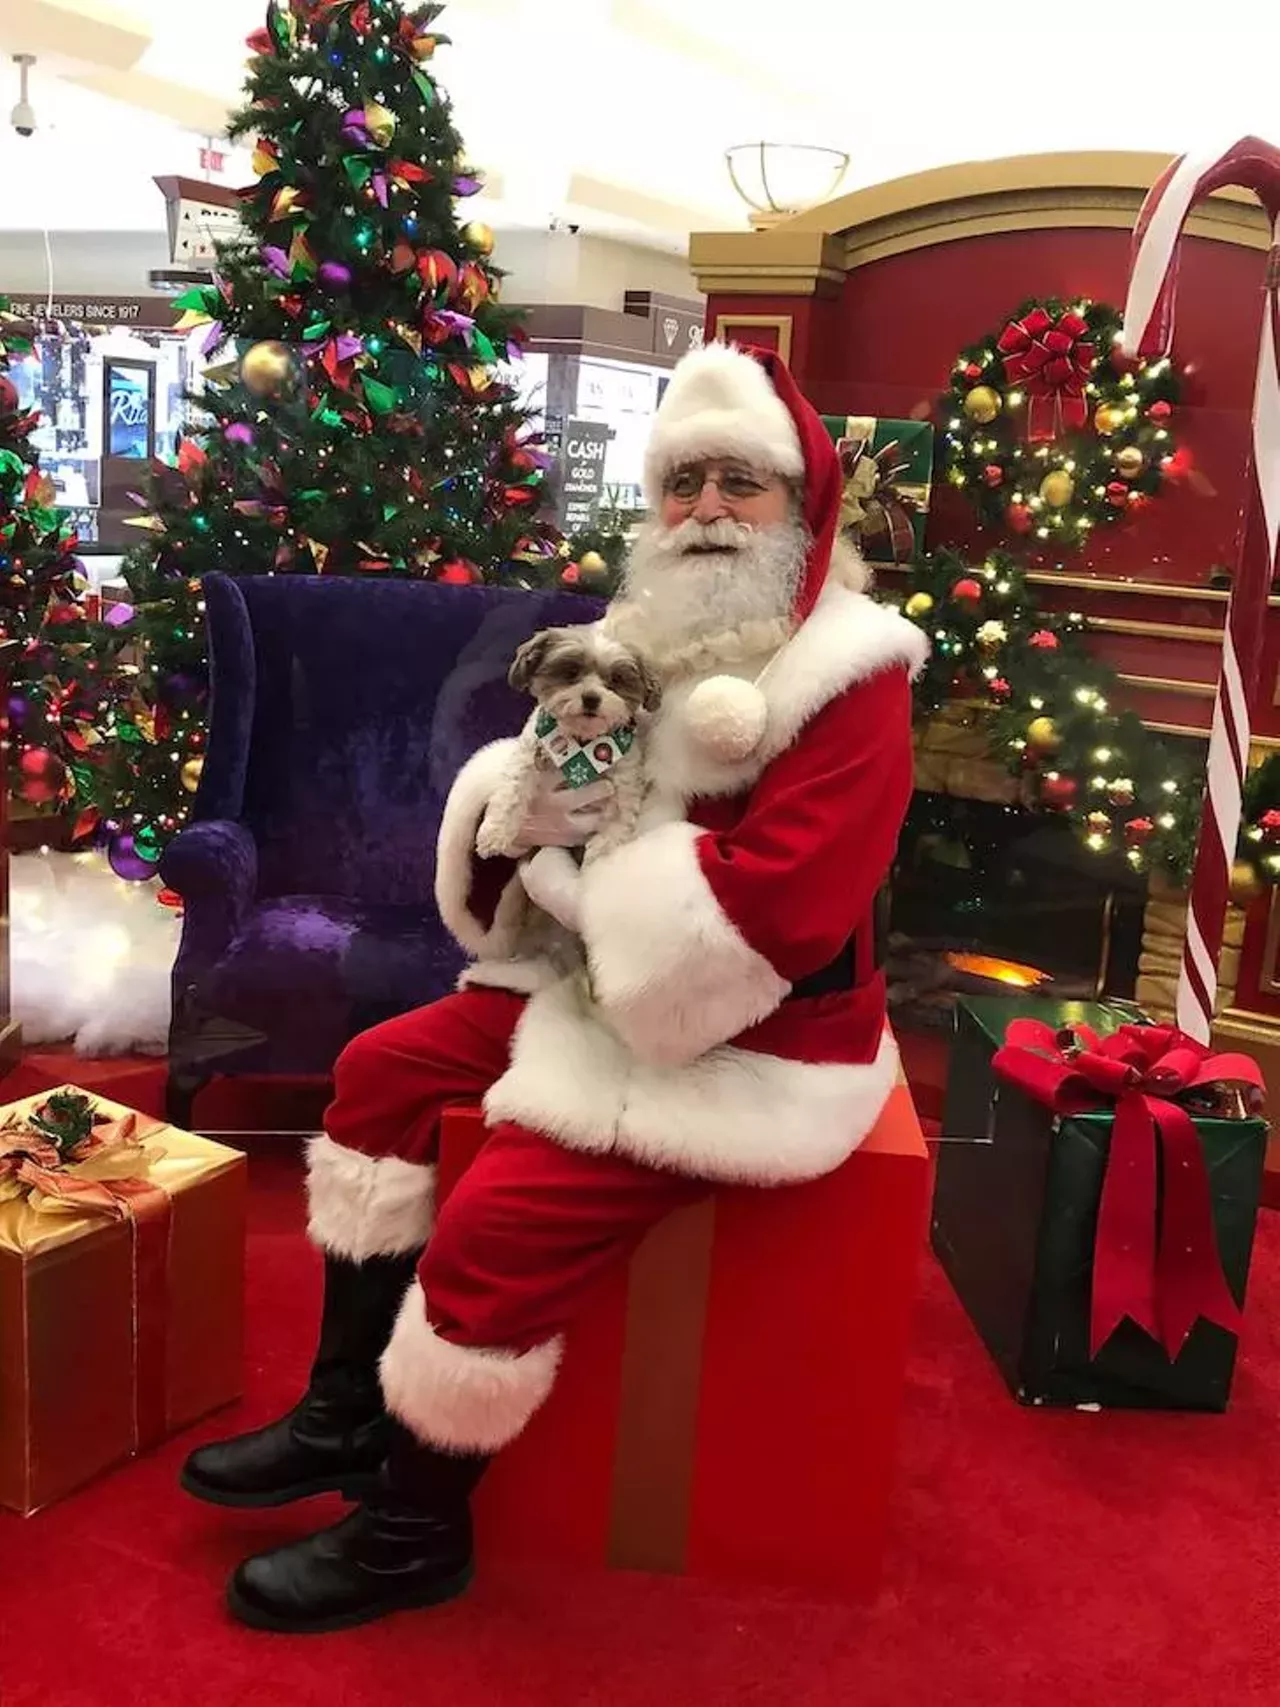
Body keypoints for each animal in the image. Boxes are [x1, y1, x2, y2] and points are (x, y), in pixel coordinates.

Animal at [477, 628, 662, 867]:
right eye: (571, 672)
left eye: (616, 679)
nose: (591, 698)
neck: (582, 747)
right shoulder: (528, 756)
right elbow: (512, 791)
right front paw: (494, 832)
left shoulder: (626, 776)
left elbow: (621, 812)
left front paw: (601, 847)